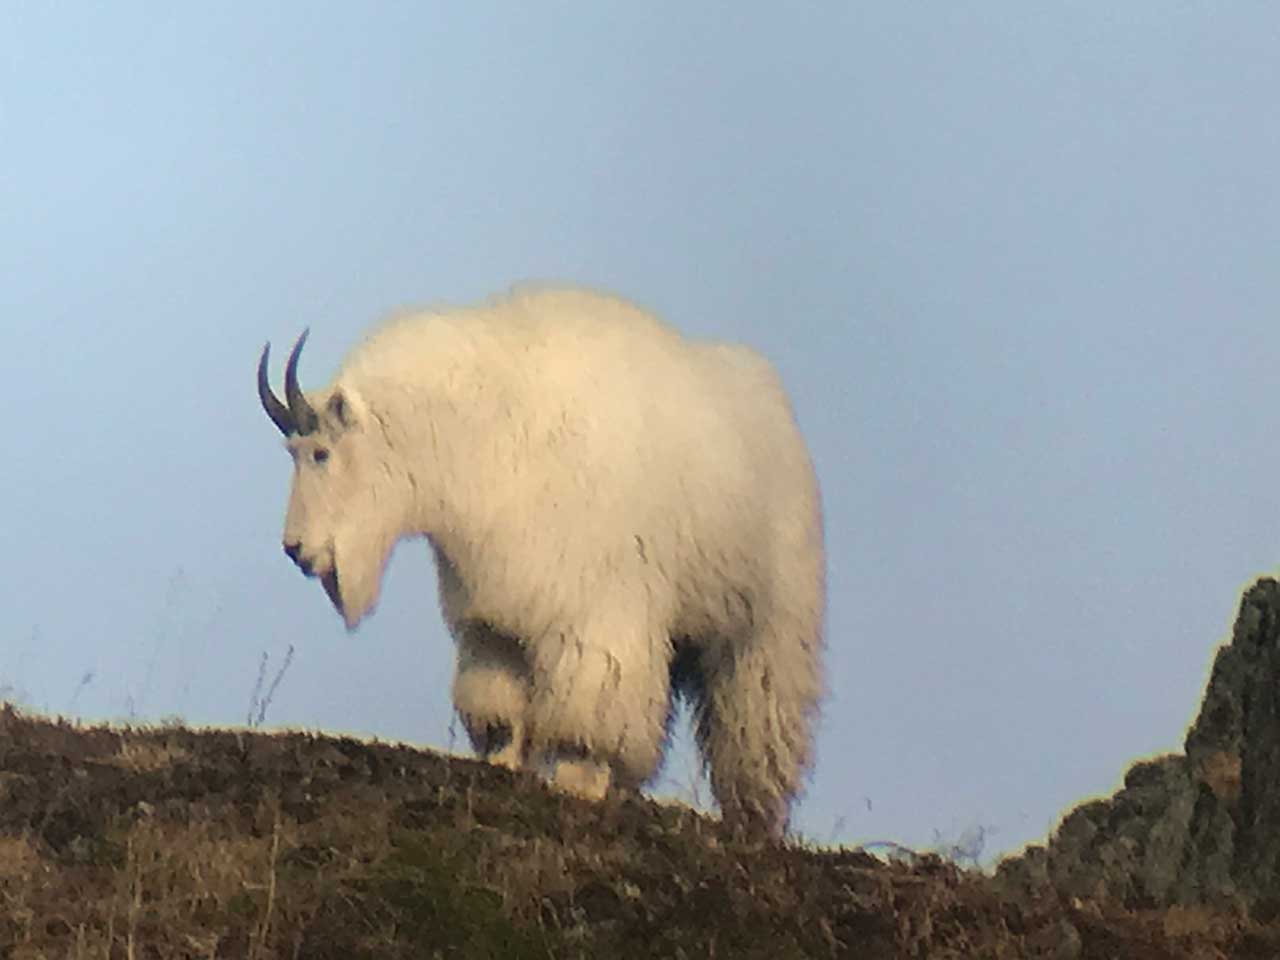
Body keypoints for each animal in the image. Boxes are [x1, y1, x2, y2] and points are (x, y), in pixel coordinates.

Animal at [254, 288, 824, 839]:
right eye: (292, 451)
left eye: (321, 452)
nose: (296, 550)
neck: (481, 433)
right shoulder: (496, 620)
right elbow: (501, 705)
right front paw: (506, 762)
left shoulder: (597, 618)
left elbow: (590, 715)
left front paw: (578, 778)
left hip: (763, 635)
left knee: (755, 726)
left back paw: (753, 819)